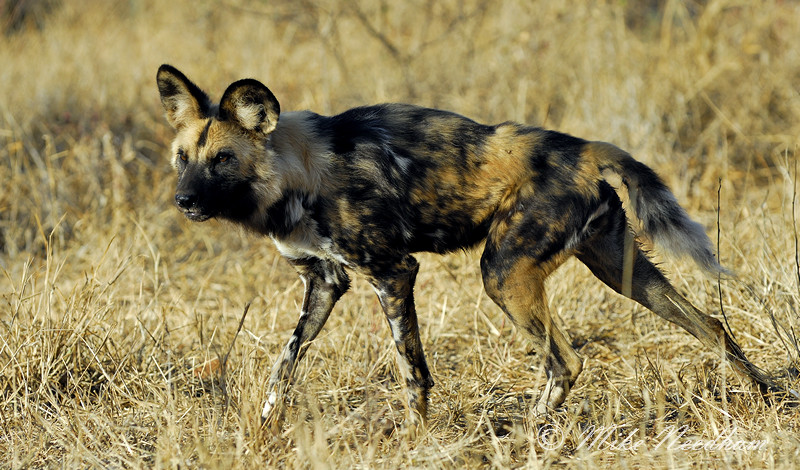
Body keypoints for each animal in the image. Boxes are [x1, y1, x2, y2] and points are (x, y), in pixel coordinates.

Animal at [158, 64, 780, 432]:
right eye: (183, 158)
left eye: (223, 160)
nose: (184, 200)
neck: (297, 170)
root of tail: (583, 147)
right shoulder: (325, 282)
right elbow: (283, 363)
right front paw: (263, 428)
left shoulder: (394, 273)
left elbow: (412, 372)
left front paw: (416, 439)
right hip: (618, 267)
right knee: (711, 326)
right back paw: (765, 398)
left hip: (502, 274)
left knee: (566, 360)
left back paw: (530, 435)